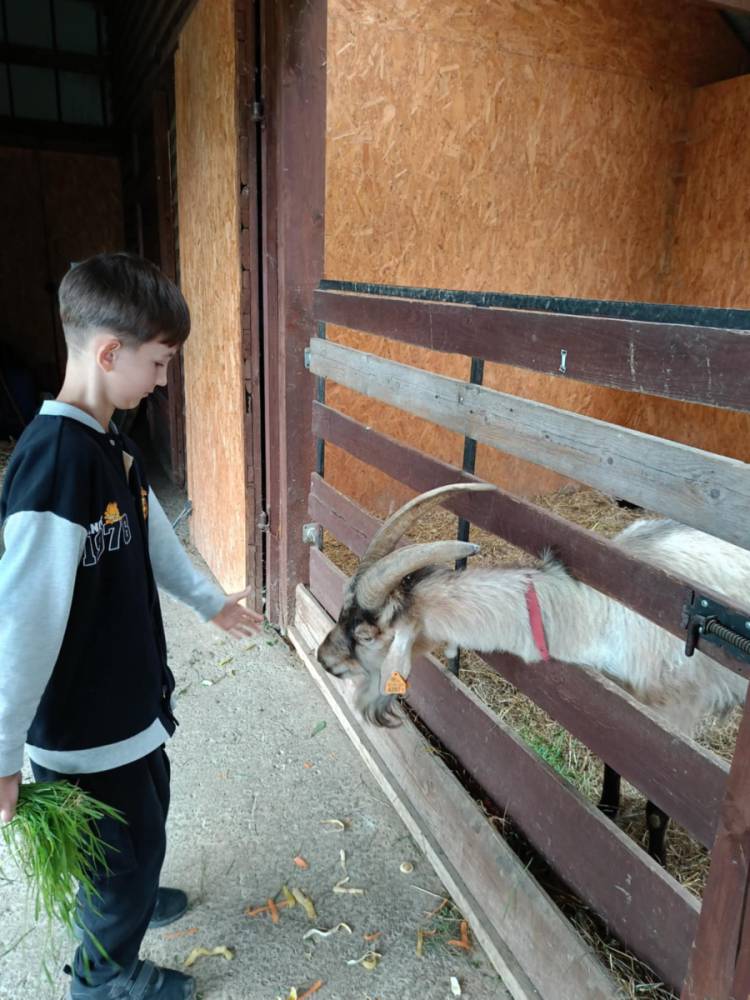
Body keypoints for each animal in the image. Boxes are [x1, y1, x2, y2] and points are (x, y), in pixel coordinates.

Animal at [317, 482, 750, 864]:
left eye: (365, 633)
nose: (324, 658)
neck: (596, 613)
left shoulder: (675, 716)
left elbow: (662, 802)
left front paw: (656, 857)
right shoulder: (622, 699)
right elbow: (615, 759)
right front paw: (607, 809)